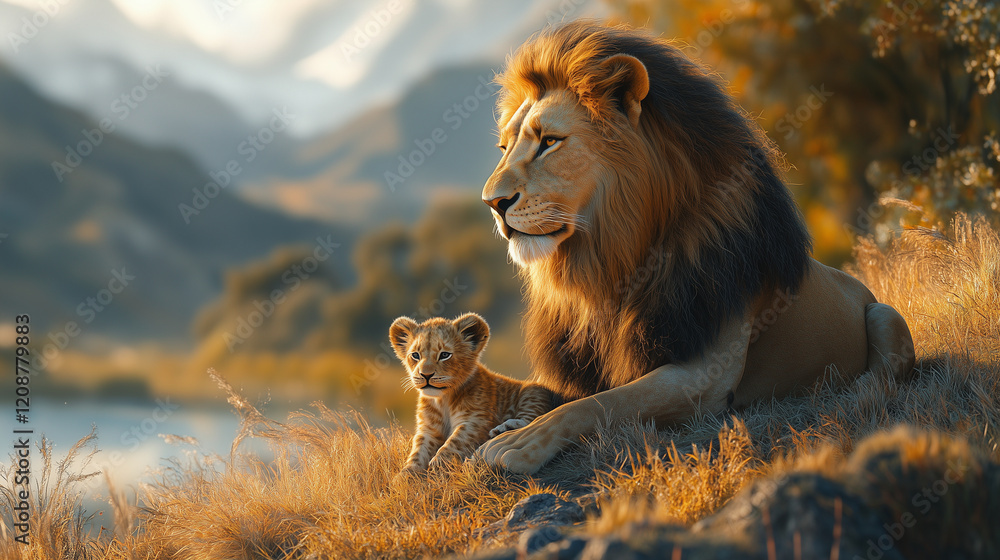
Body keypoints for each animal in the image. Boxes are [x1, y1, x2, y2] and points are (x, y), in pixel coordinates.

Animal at [476, 21, 915, 473]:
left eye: (549, 141)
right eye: (504, 148)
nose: (492, 203)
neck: (613, 263)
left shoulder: (704, 377)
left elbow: (596, 404)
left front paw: (520, 443)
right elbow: (561, 394)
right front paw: (511, 423)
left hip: (885, 313)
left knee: (885, 369)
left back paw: (856, 387)